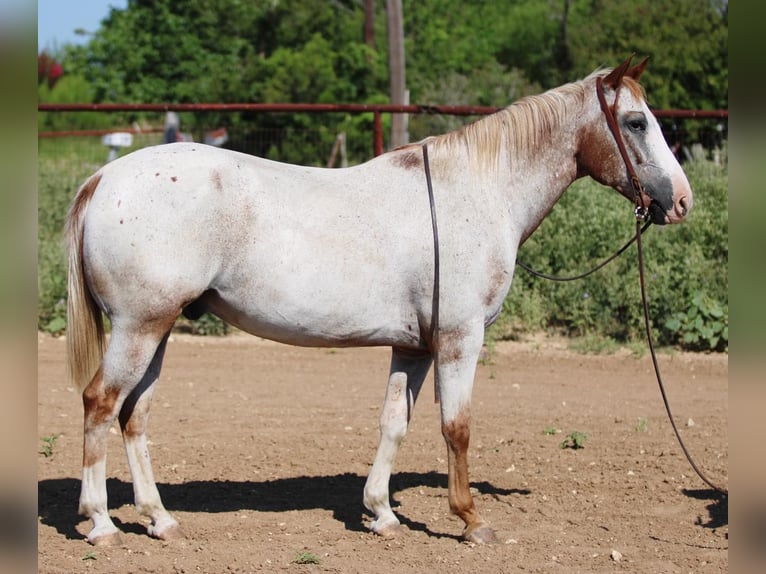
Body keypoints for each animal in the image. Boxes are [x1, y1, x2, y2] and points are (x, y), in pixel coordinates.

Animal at [63, 56, 692, 548]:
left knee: (133, 416)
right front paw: (470, 520)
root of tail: (104, 178)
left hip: (159, 328)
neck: (476, 192)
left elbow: (395, 423)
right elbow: (456, 427)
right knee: (100, 405)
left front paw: (382, 513)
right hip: (139, 327)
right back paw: (102, 523)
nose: (682, 201)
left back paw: (160, 520)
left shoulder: (413, 348)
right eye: (636, 122)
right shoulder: (460, 340)